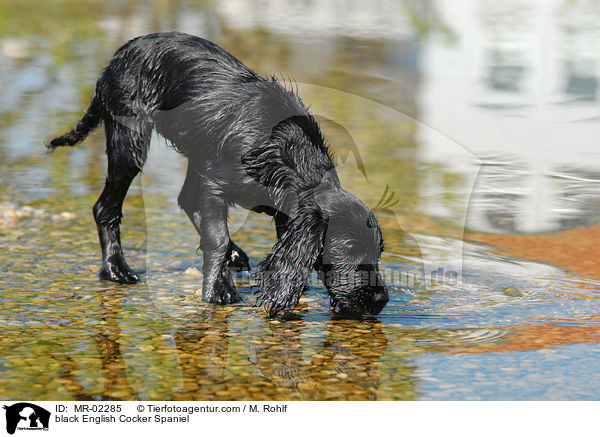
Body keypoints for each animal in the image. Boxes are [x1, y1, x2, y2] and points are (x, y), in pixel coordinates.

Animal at [45, 31, 390, 316]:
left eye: (379, 251)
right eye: (348, 249)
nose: (381, 300)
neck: (284, 152)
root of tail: (120, 54)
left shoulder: (282, 209)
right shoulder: (216, 185)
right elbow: (217, 238)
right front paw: (218, 290)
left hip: (196, 153)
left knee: (185, 199)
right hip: (130, 142)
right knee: (106, 206)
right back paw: (115, 268)